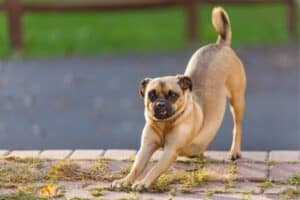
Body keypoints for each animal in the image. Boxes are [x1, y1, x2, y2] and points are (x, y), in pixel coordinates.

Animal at [112, 6, 246, 191]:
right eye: (151, 94)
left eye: (172, 95)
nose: (160, 105)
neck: (165, 124)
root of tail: (221, 44)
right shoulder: (146, 147)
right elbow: (137, 166)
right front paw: (125, 180)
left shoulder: (170, 151)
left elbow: (155, 168)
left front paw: (143, 183)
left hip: (237, 100)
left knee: (237, 127)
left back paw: (234, 152)